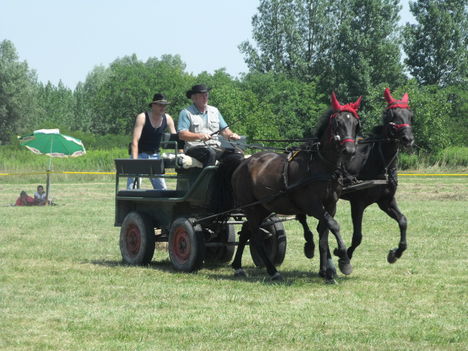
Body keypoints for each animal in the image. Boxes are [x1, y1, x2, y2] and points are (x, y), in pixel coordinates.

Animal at [230, 93, 362, 284]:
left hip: (261, 207)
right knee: (255, 236)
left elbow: (324, 235)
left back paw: (238, 266)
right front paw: (344, 260)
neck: (322, 165)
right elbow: (334, 226)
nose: (349, 150)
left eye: (356, 123)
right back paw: (272, 271)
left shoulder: (331, 205)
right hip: (251, 208)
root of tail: (242, 164)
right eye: (338, 122)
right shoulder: (312, 205)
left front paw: (328, 272)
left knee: (246, 231)